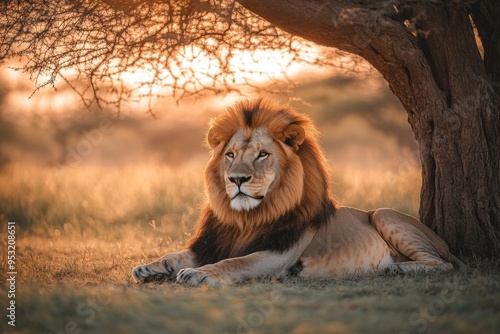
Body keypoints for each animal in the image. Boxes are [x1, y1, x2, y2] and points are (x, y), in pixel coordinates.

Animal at [132, 98, 464, 286]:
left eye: (262, 154)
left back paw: (400, 270)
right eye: (230, 155)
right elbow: (176, 254)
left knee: (445, 265)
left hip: (383, 214)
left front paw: (199, 274)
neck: (246, 218)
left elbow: (236, 262)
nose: (237, 179)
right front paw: (149, 268)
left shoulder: (278, 254)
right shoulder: (212, 243)